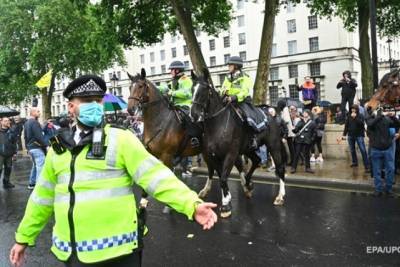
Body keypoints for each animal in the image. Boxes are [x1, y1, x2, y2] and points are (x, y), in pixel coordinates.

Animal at [191, 71, 288, 218]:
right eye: (192, 89)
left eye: (204, 90)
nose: (194, 115)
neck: (217, 125)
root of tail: (273, 113)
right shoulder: (214, 155)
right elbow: (220, 176)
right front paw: (227, 198)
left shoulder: (230, 154)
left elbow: (223, 178)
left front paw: (226, 205)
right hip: (249, 148)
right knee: (256, 160)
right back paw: (247, 183)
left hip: (274, 145)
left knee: (280, 168)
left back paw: (280, 196)